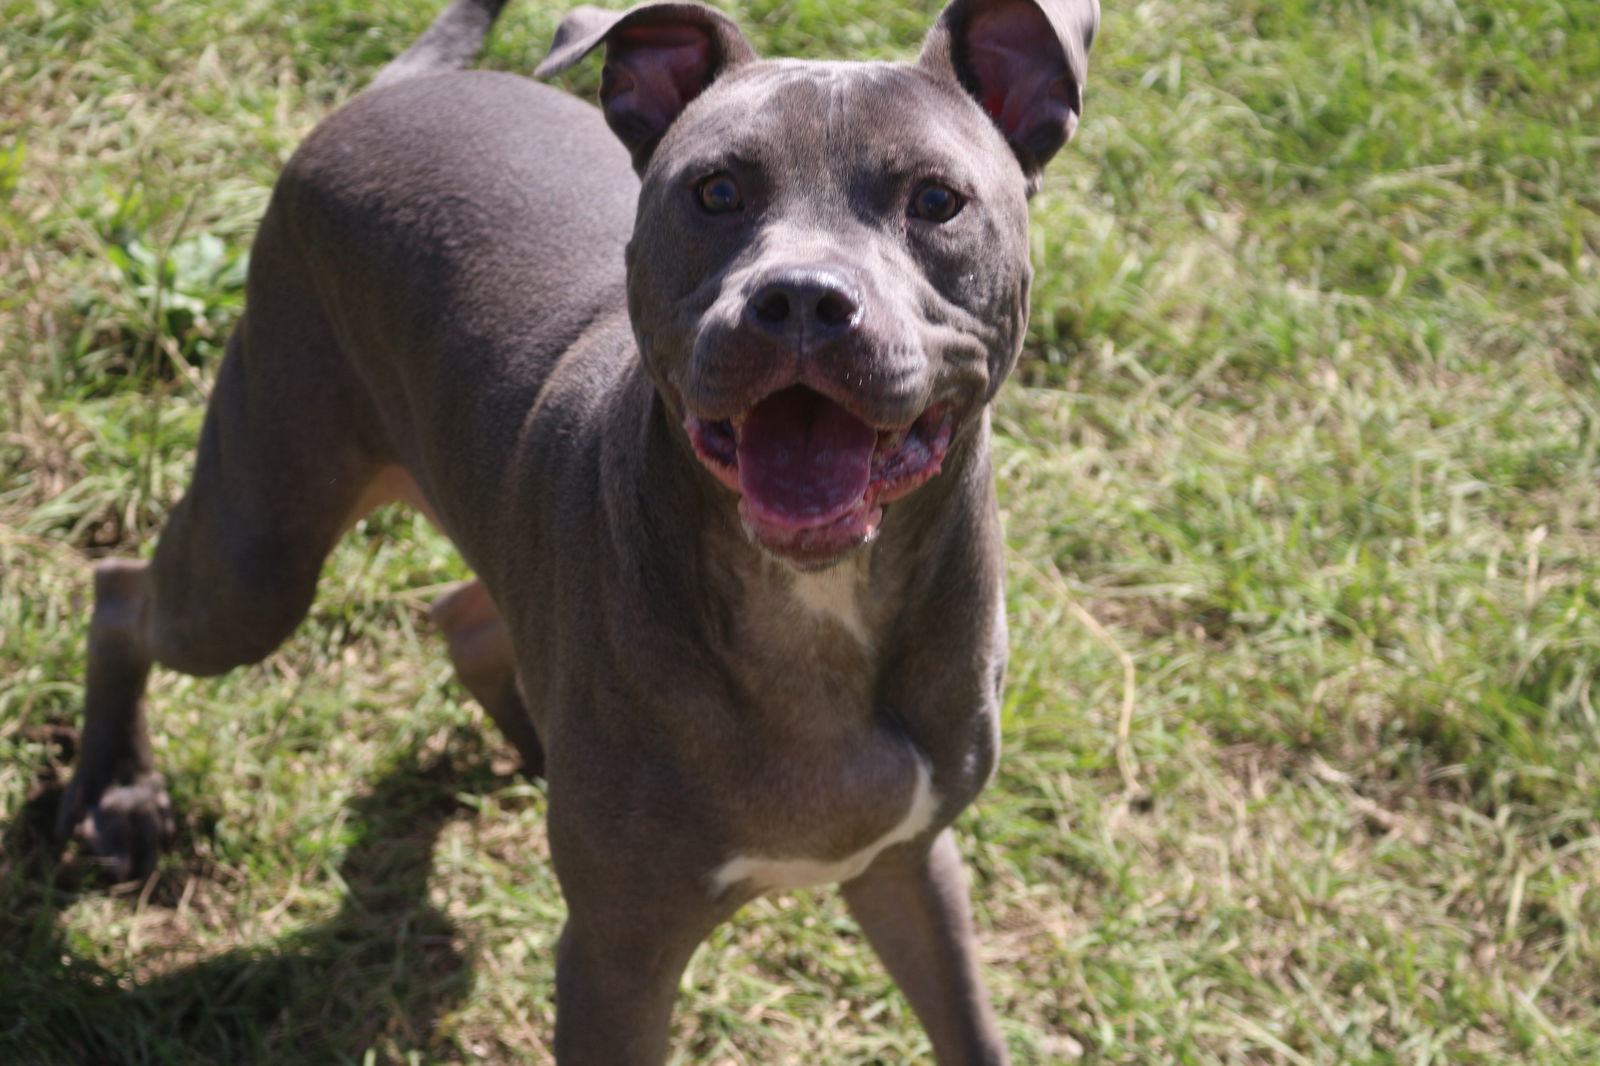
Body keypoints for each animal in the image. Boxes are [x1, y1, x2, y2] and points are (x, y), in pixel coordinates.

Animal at [53, 2, 1100, 1056]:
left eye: (936, 200)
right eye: (717, 190)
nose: (801, 297)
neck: (816, 606)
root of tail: (394, 91)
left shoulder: (910, 867)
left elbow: (969, 1028)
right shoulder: (616, 956)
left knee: (467, 612)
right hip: (259, 552)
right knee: (124, 593)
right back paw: (117, 790)